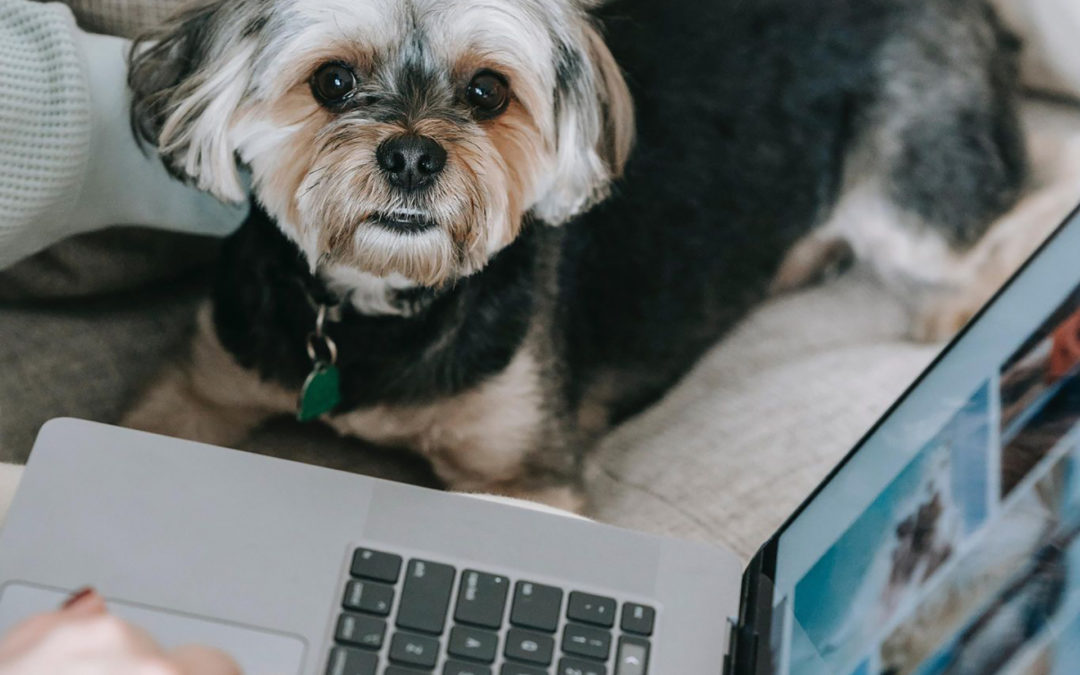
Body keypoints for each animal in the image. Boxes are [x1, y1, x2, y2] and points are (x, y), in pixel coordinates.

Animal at [124, 0, 1028, 507]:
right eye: (333, 82)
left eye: (488, 91)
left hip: (909, 193)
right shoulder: (197, 388)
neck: (386, 306)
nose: (412, 156)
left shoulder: (529, 477)